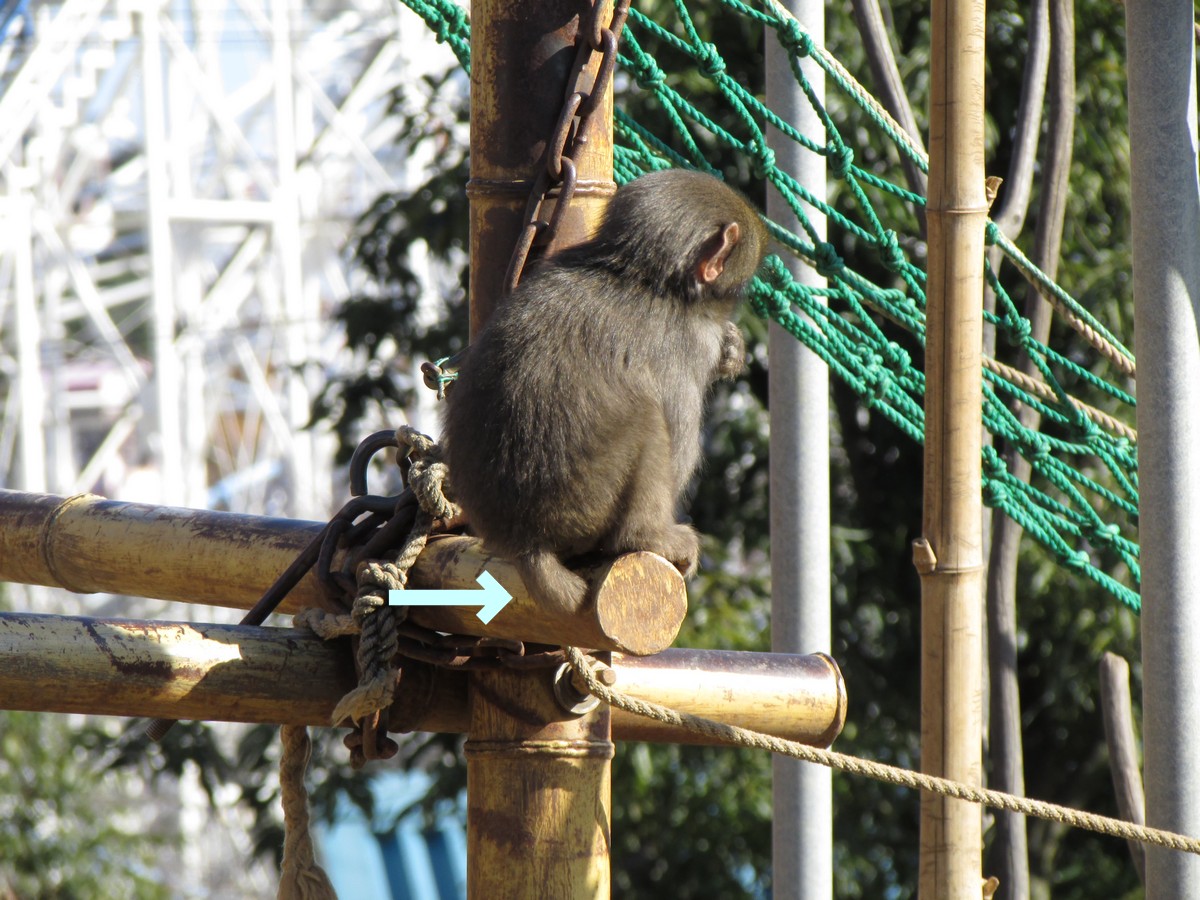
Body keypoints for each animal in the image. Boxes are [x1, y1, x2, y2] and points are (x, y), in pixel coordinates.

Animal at [441, 170, 768, 619]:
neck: (636, 274)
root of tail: (524, 541)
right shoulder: (688, 345)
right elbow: (678, 449)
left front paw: (733, 348)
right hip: (583, 504)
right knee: (648, 423)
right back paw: (645, 538)